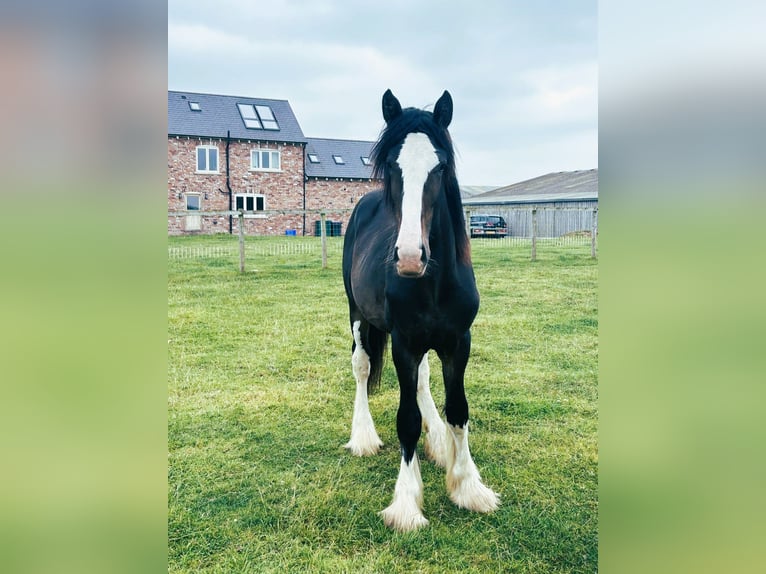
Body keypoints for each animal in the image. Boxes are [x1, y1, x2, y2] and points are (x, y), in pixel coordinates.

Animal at [344, 90, 500, 536]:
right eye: (391, 166)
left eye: (441, 166)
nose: (411, 257)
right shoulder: (404, 345)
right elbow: (406, 420)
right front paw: (406, 504)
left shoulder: (457, 342)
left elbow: (458, 411)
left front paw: (467, 486)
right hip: (358, 316)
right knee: (362, 368)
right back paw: (363, 436)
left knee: (423, 383)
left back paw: (438, 445)